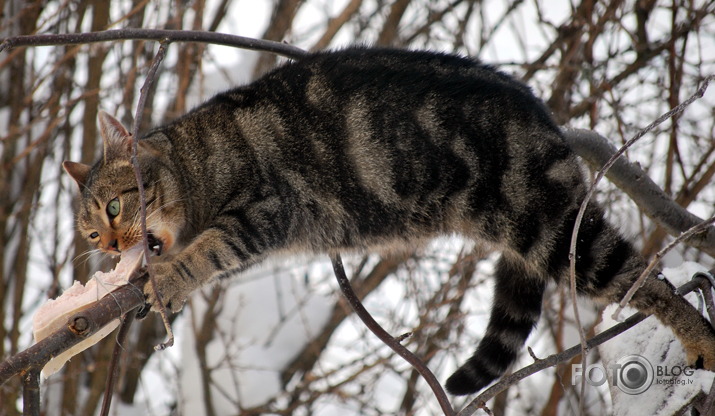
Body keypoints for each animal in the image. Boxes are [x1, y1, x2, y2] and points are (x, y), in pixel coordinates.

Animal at [64, 47, 712, 394]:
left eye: (115, 207)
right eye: (93, 234)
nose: (113, 244)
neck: (194, 166)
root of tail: (546, 117)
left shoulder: (261, 212)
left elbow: (207, 252)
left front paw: (167, 278)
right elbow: (205, 262)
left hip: (560, 236)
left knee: (649, 281)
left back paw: (698, 339)